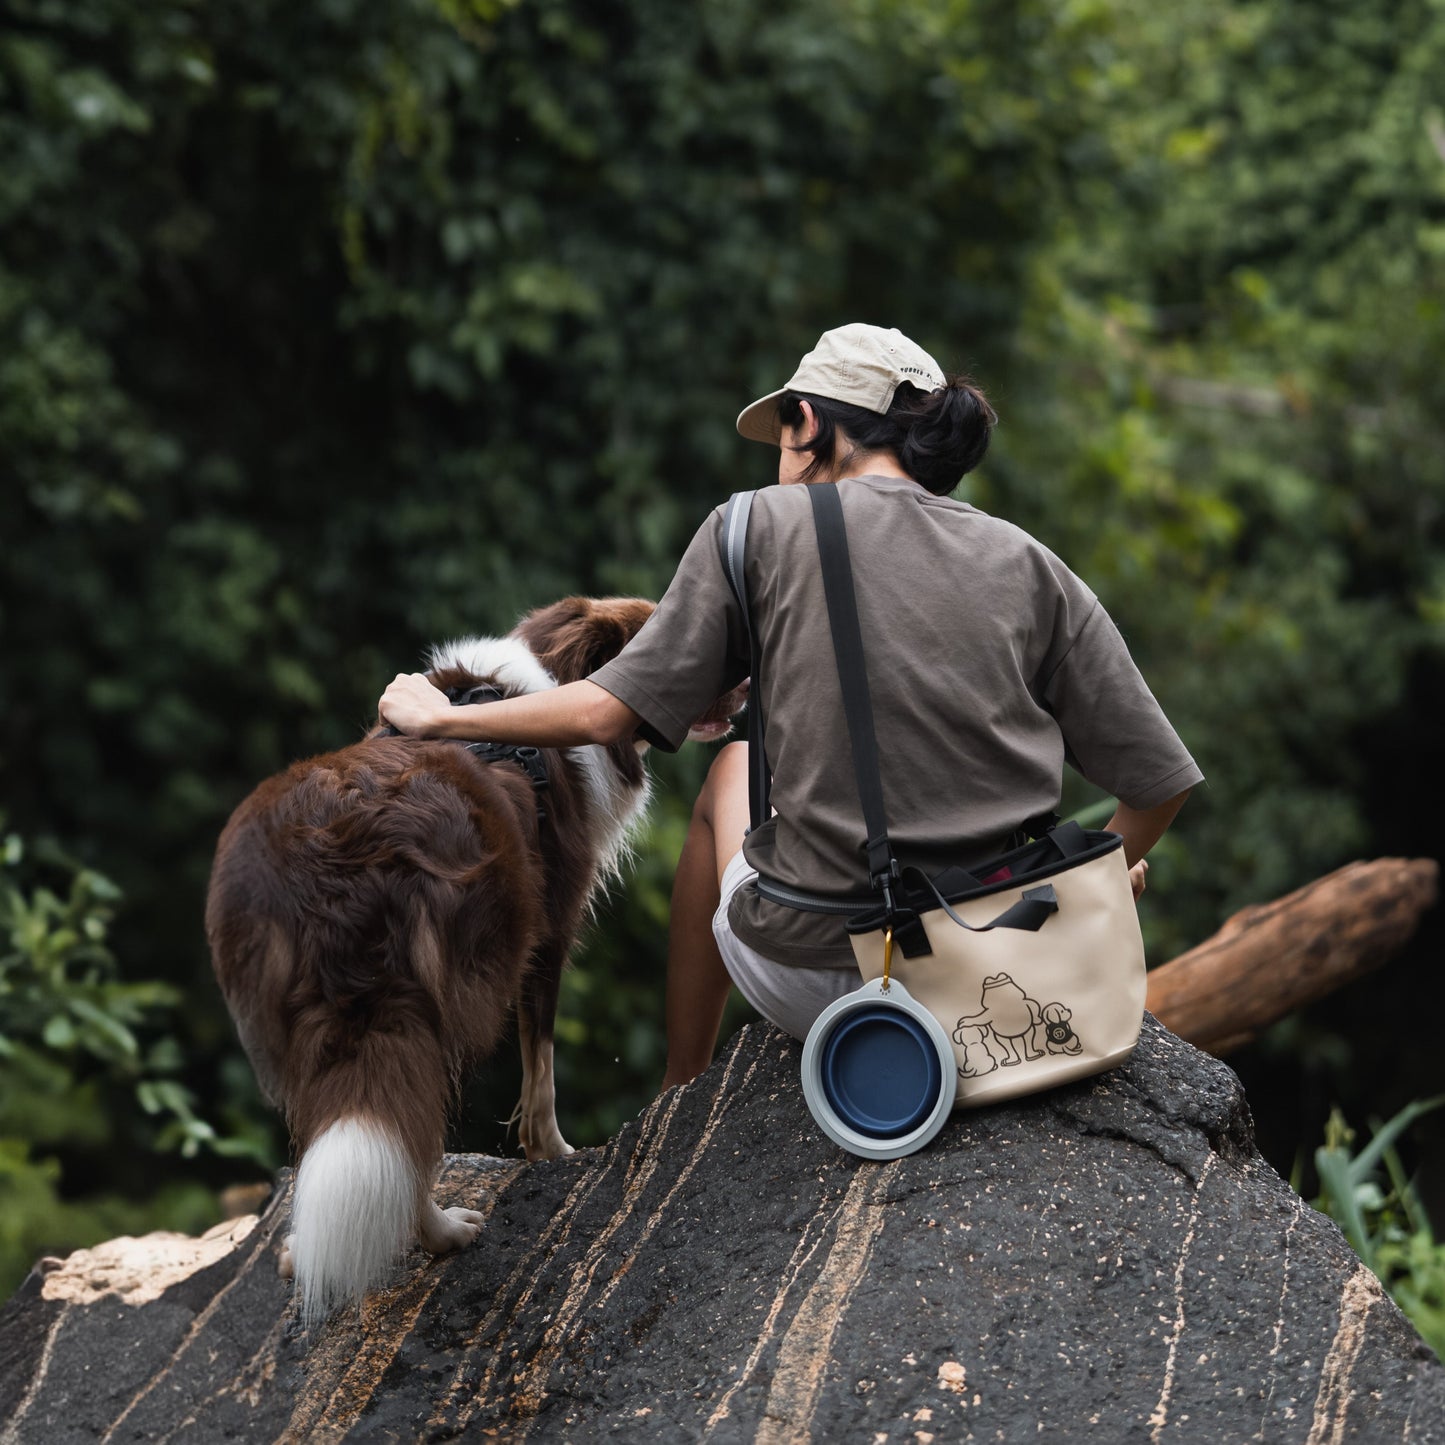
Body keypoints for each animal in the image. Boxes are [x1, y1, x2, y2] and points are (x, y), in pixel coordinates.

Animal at [206, 592, 734, 1323]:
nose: (746, 680)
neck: (546, 677)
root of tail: (329, 850)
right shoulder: (547, 928)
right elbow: (541, 1066)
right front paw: (554, 1152)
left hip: (290, 1018)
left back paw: (300, 1250)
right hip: (426, 995)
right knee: (411, 1126)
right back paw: (443, 1233)